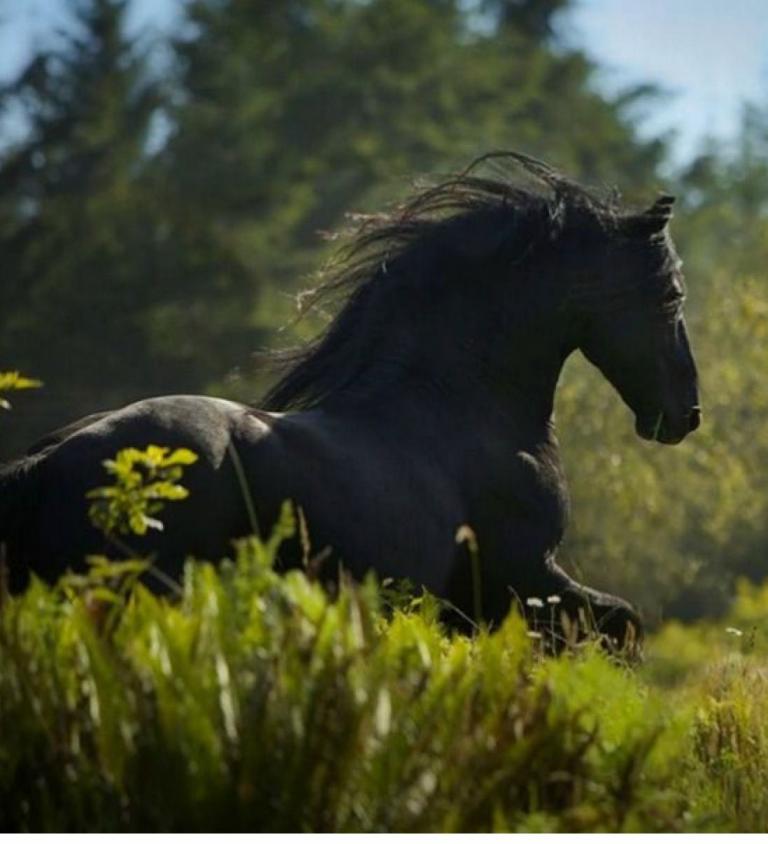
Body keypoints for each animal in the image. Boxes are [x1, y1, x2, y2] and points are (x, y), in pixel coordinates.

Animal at [0, 152, 700, 645]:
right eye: (670, 293)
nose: (686, 413)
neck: (457, 406)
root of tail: (48, 462)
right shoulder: (522, 581)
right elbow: (625, 627)